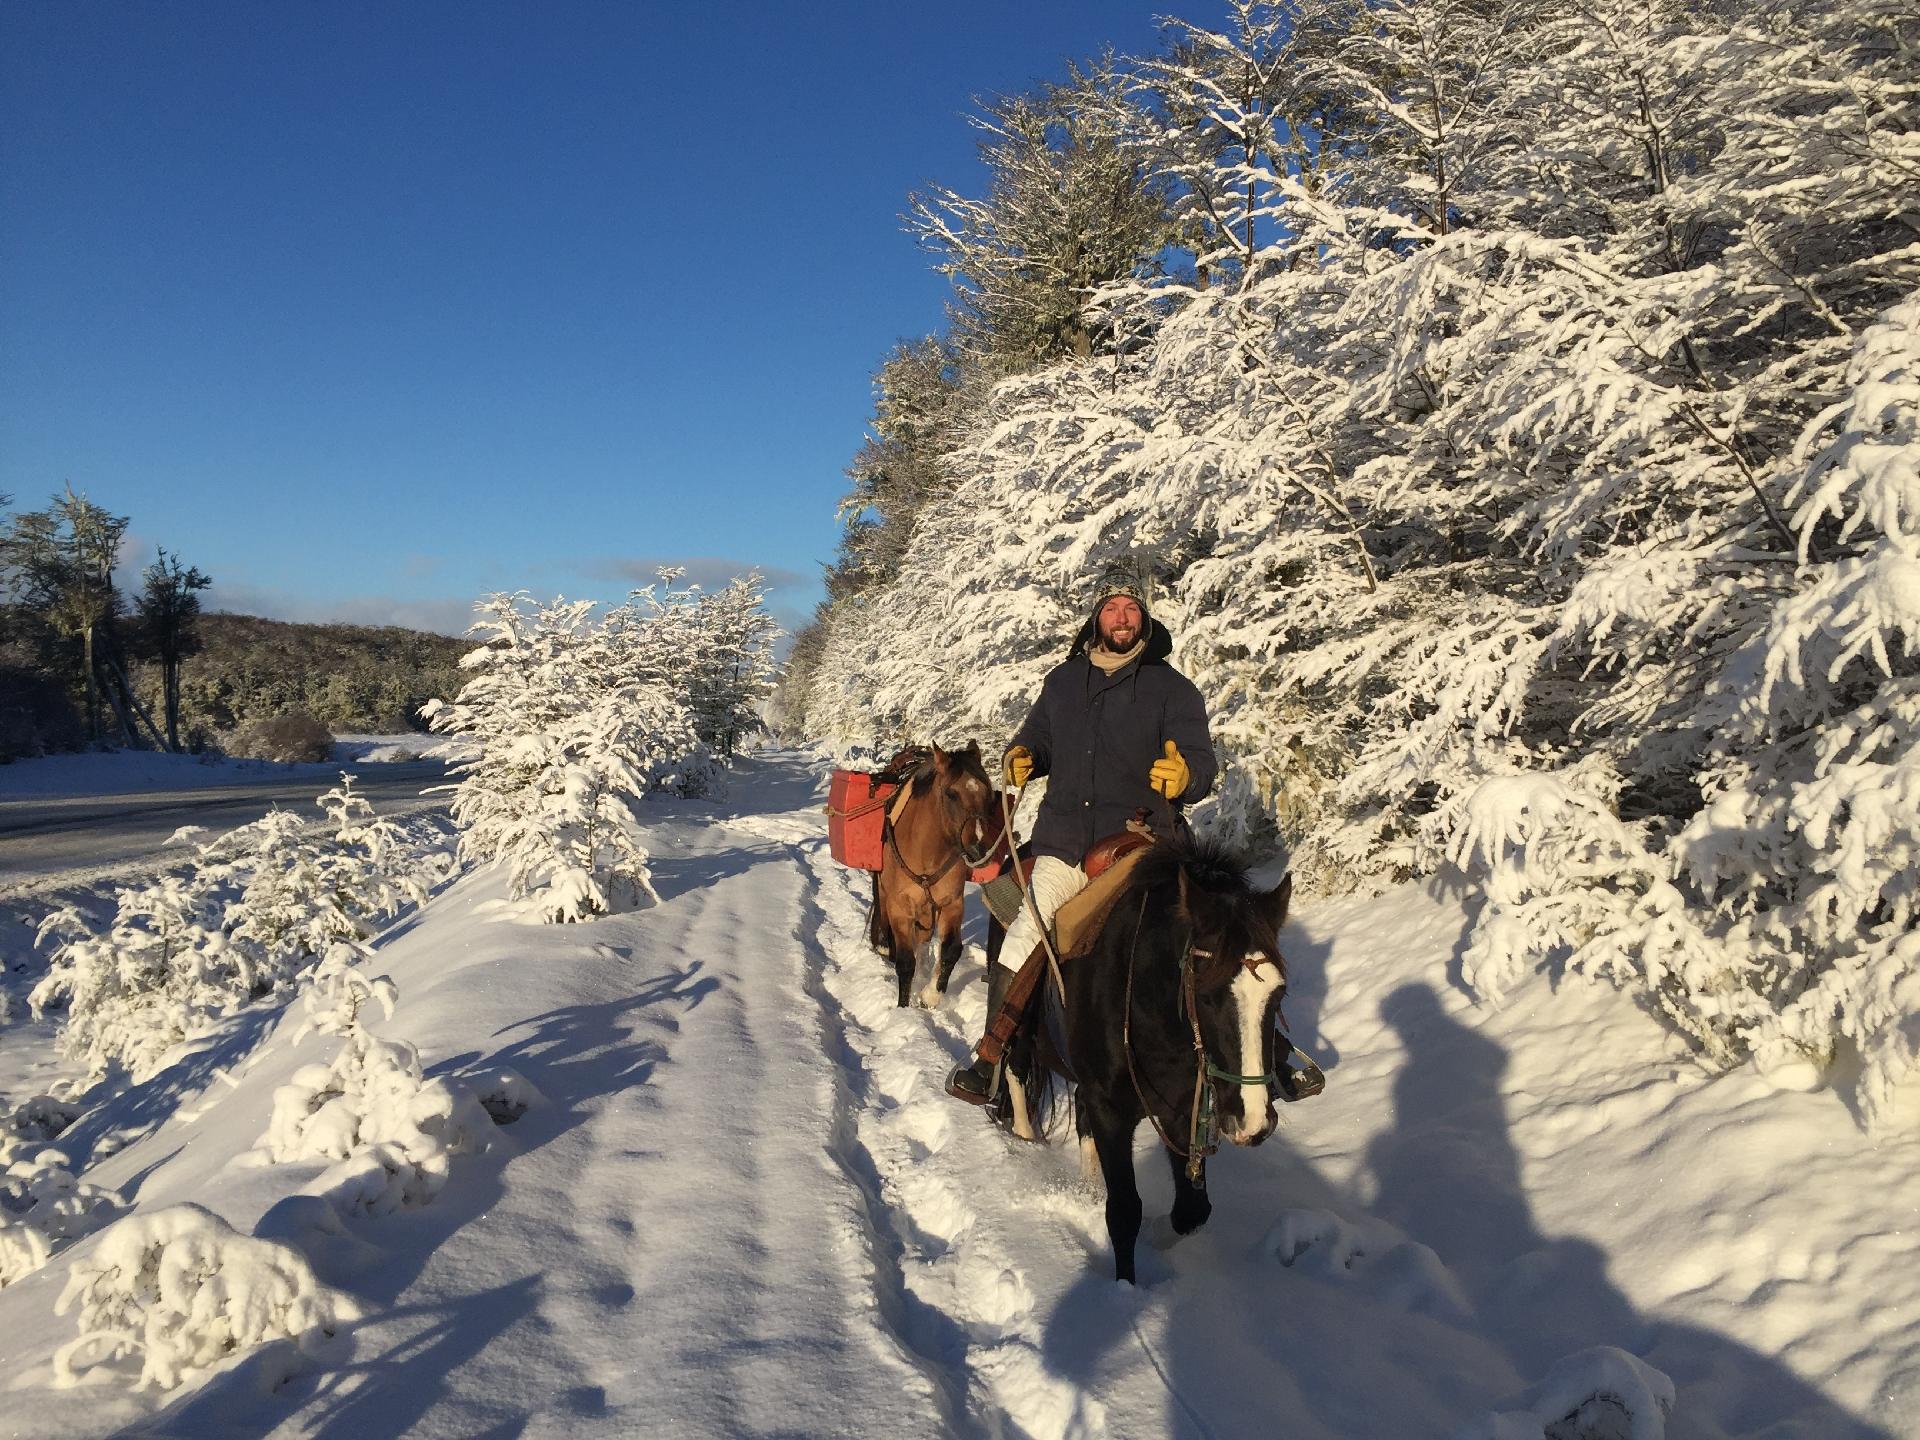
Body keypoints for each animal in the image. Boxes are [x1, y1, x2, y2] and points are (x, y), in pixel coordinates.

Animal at [864, 748, 998, 1006]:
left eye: (988, 792)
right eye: (951, 794)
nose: (979, 849)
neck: (927, 852)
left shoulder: (952, 902)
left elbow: (951, 950)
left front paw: (930, 995)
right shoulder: (900, 907)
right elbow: (905, 963)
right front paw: (903, 1008)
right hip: (886, 895)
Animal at [1006, 840, 1290, 1290]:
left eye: (1278, 995)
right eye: (1206, 994)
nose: (1254, 1123)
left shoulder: (1181, 1109)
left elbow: (1192, 1212)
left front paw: (1159, 1233)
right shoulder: (1110, 1110)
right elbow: (1124, 1212)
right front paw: (1125, 1289)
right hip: (1024, 1026)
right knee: (1015, 1066)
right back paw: (1023, 1135)